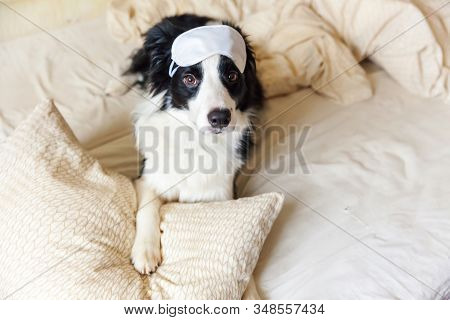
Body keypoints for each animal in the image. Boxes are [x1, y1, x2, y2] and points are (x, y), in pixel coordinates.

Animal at [125, 13, 262, 298]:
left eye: (232, 75)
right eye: (189, 79)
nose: (220, 118)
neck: (197, 140)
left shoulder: (222, 194)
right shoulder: (148, 177)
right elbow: (147, 207)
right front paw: (145, 251)